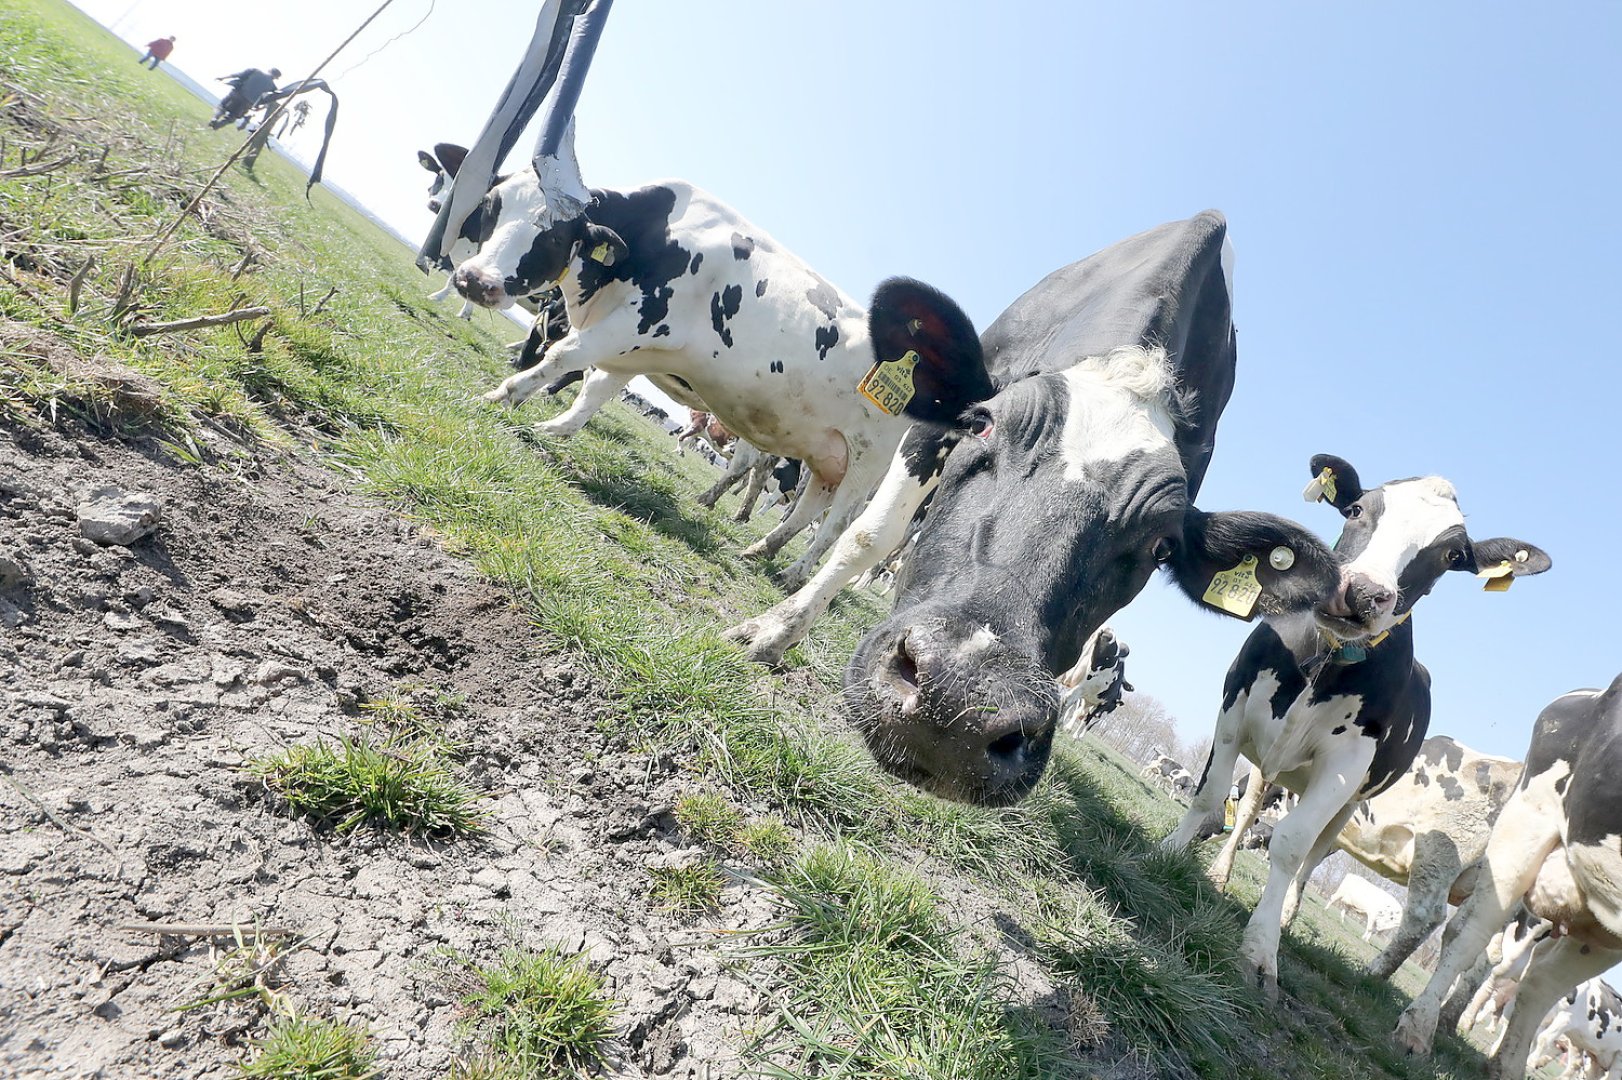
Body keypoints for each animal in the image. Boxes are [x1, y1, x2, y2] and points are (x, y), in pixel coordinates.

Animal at [723, 214, 1347, 809]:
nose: (961, 703)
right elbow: (869, 535)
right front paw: (773, 632)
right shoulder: (934, 418)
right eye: (982, 423)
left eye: (1161, 545)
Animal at [1210, 735, 1523, 979]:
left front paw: (1219, 872)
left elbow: (1249, 814)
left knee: (1425, 915)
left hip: (1439, 854)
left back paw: (1374, 972)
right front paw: (1285, 914)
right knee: (1485, 954)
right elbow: (1309, 860)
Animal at [1396, 676, 1622, 1078]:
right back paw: (1418, 1029)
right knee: (1470, 935)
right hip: (1522, 831)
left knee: (1540, 982)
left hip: (1603, 926)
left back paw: (1505, 1066)